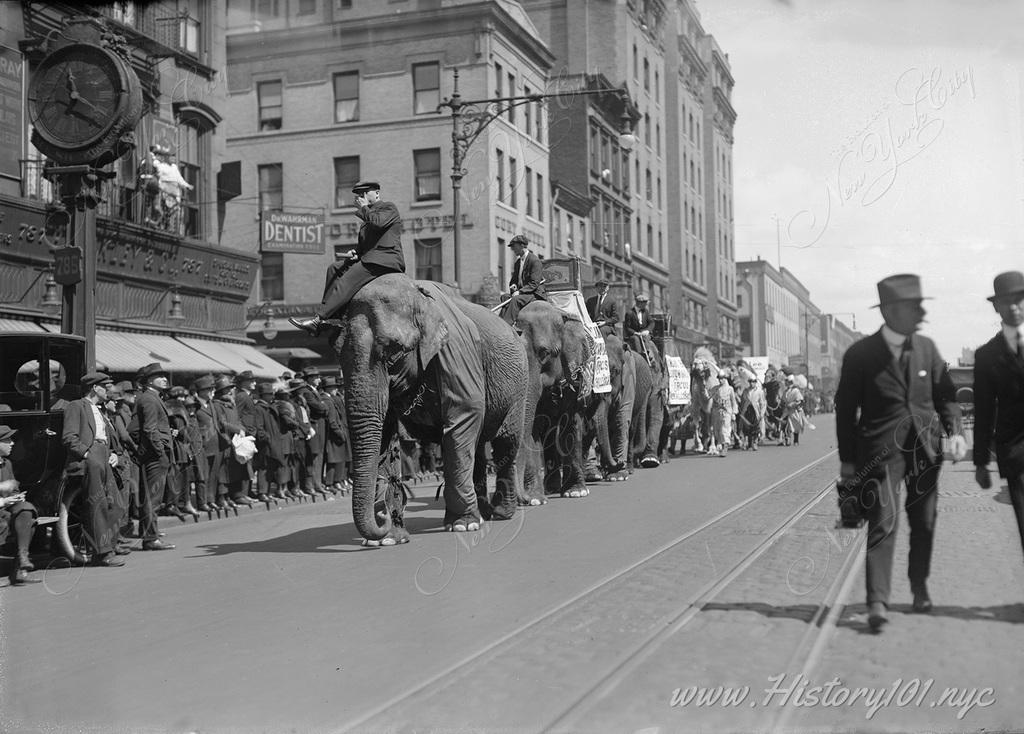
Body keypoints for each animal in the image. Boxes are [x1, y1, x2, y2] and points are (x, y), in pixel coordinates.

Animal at [327, 274, 528, 544]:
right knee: (477, 447)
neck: (418, 295)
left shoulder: (456, 353)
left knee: (506, 441)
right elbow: (384, 436)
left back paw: (500, 513)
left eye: (394, 352)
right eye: (338, 354)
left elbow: (464, 416)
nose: (382, 518)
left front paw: (463, 525)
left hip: (519, 386)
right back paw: (484, 512)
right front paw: (388, 539)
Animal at [516, 296, 598, 497]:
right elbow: (534, 425)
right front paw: (536, 499)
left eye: (544, 352)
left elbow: (572, 424)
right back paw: (550, 488)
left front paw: (576, 493)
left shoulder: (576, 377)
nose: (523, 498)